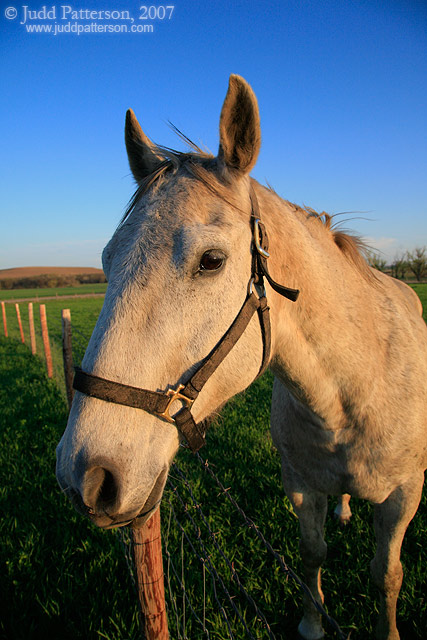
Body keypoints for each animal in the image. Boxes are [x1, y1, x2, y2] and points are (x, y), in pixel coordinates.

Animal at [56, 76, 427, 640]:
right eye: (106, 259)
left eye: (211, 261)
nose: (86, 477)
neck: (351, 397)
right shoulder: (301, 486)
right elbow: (312, 553)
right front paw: (312, 624)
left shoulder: (403, 498)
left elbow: (386, 576)